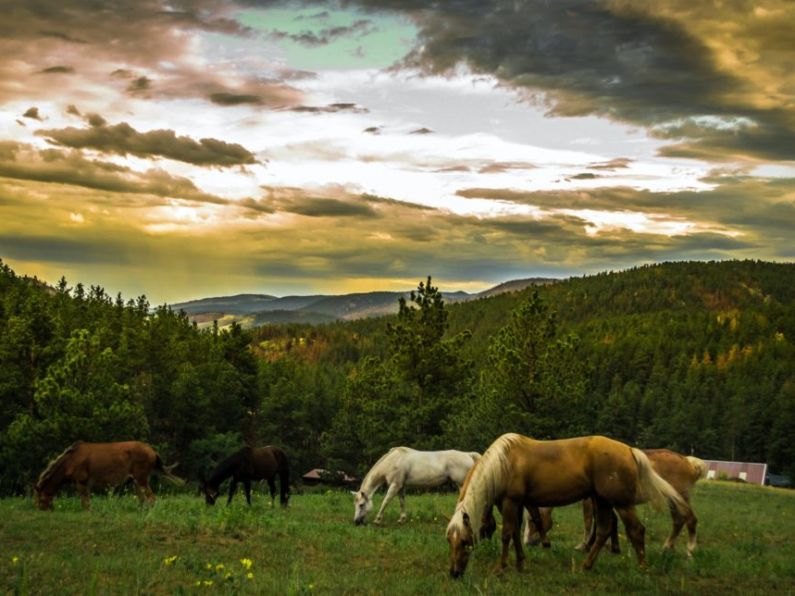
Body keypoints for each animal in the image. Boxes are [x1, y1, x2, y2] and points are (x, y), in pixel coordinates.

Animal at [33, 440, 183, 510]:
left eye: (40, 498)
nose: (41, 509)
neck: (69, 463)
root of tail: (153, 451)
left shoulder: (81, 482)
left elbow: (85, 504)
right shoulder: (84, 484)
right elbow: (86, 502)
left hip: (141, 478)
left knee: (151, 498)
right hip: (135, 481)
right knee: (143, 499)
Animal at [524, 450, 704, 556]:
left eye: (532, 521)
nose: (528, 542)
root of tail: (690, 462)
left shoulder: (590, 500)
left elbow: (590, 522)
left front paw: (585, 545)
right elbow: (610, 521)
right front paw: (611, 547)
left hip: (678, 498)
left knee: (690, 519)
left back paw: (689, 549)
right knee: (679, 520)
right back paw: (668, 547)